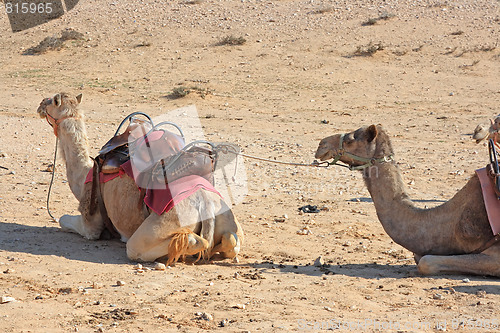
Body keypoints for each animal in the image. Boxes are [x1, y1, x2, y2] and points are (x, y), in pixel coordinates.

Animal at [37, 92, 244, 264]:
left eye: (51, 101)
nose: (40, 104)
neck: (85, 174)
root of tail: (205, 202)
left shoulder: (91, 224)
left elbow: (63, 220)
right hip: (227, 216)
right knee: (231, 240)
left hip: (160, 226)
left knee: (157, 244)